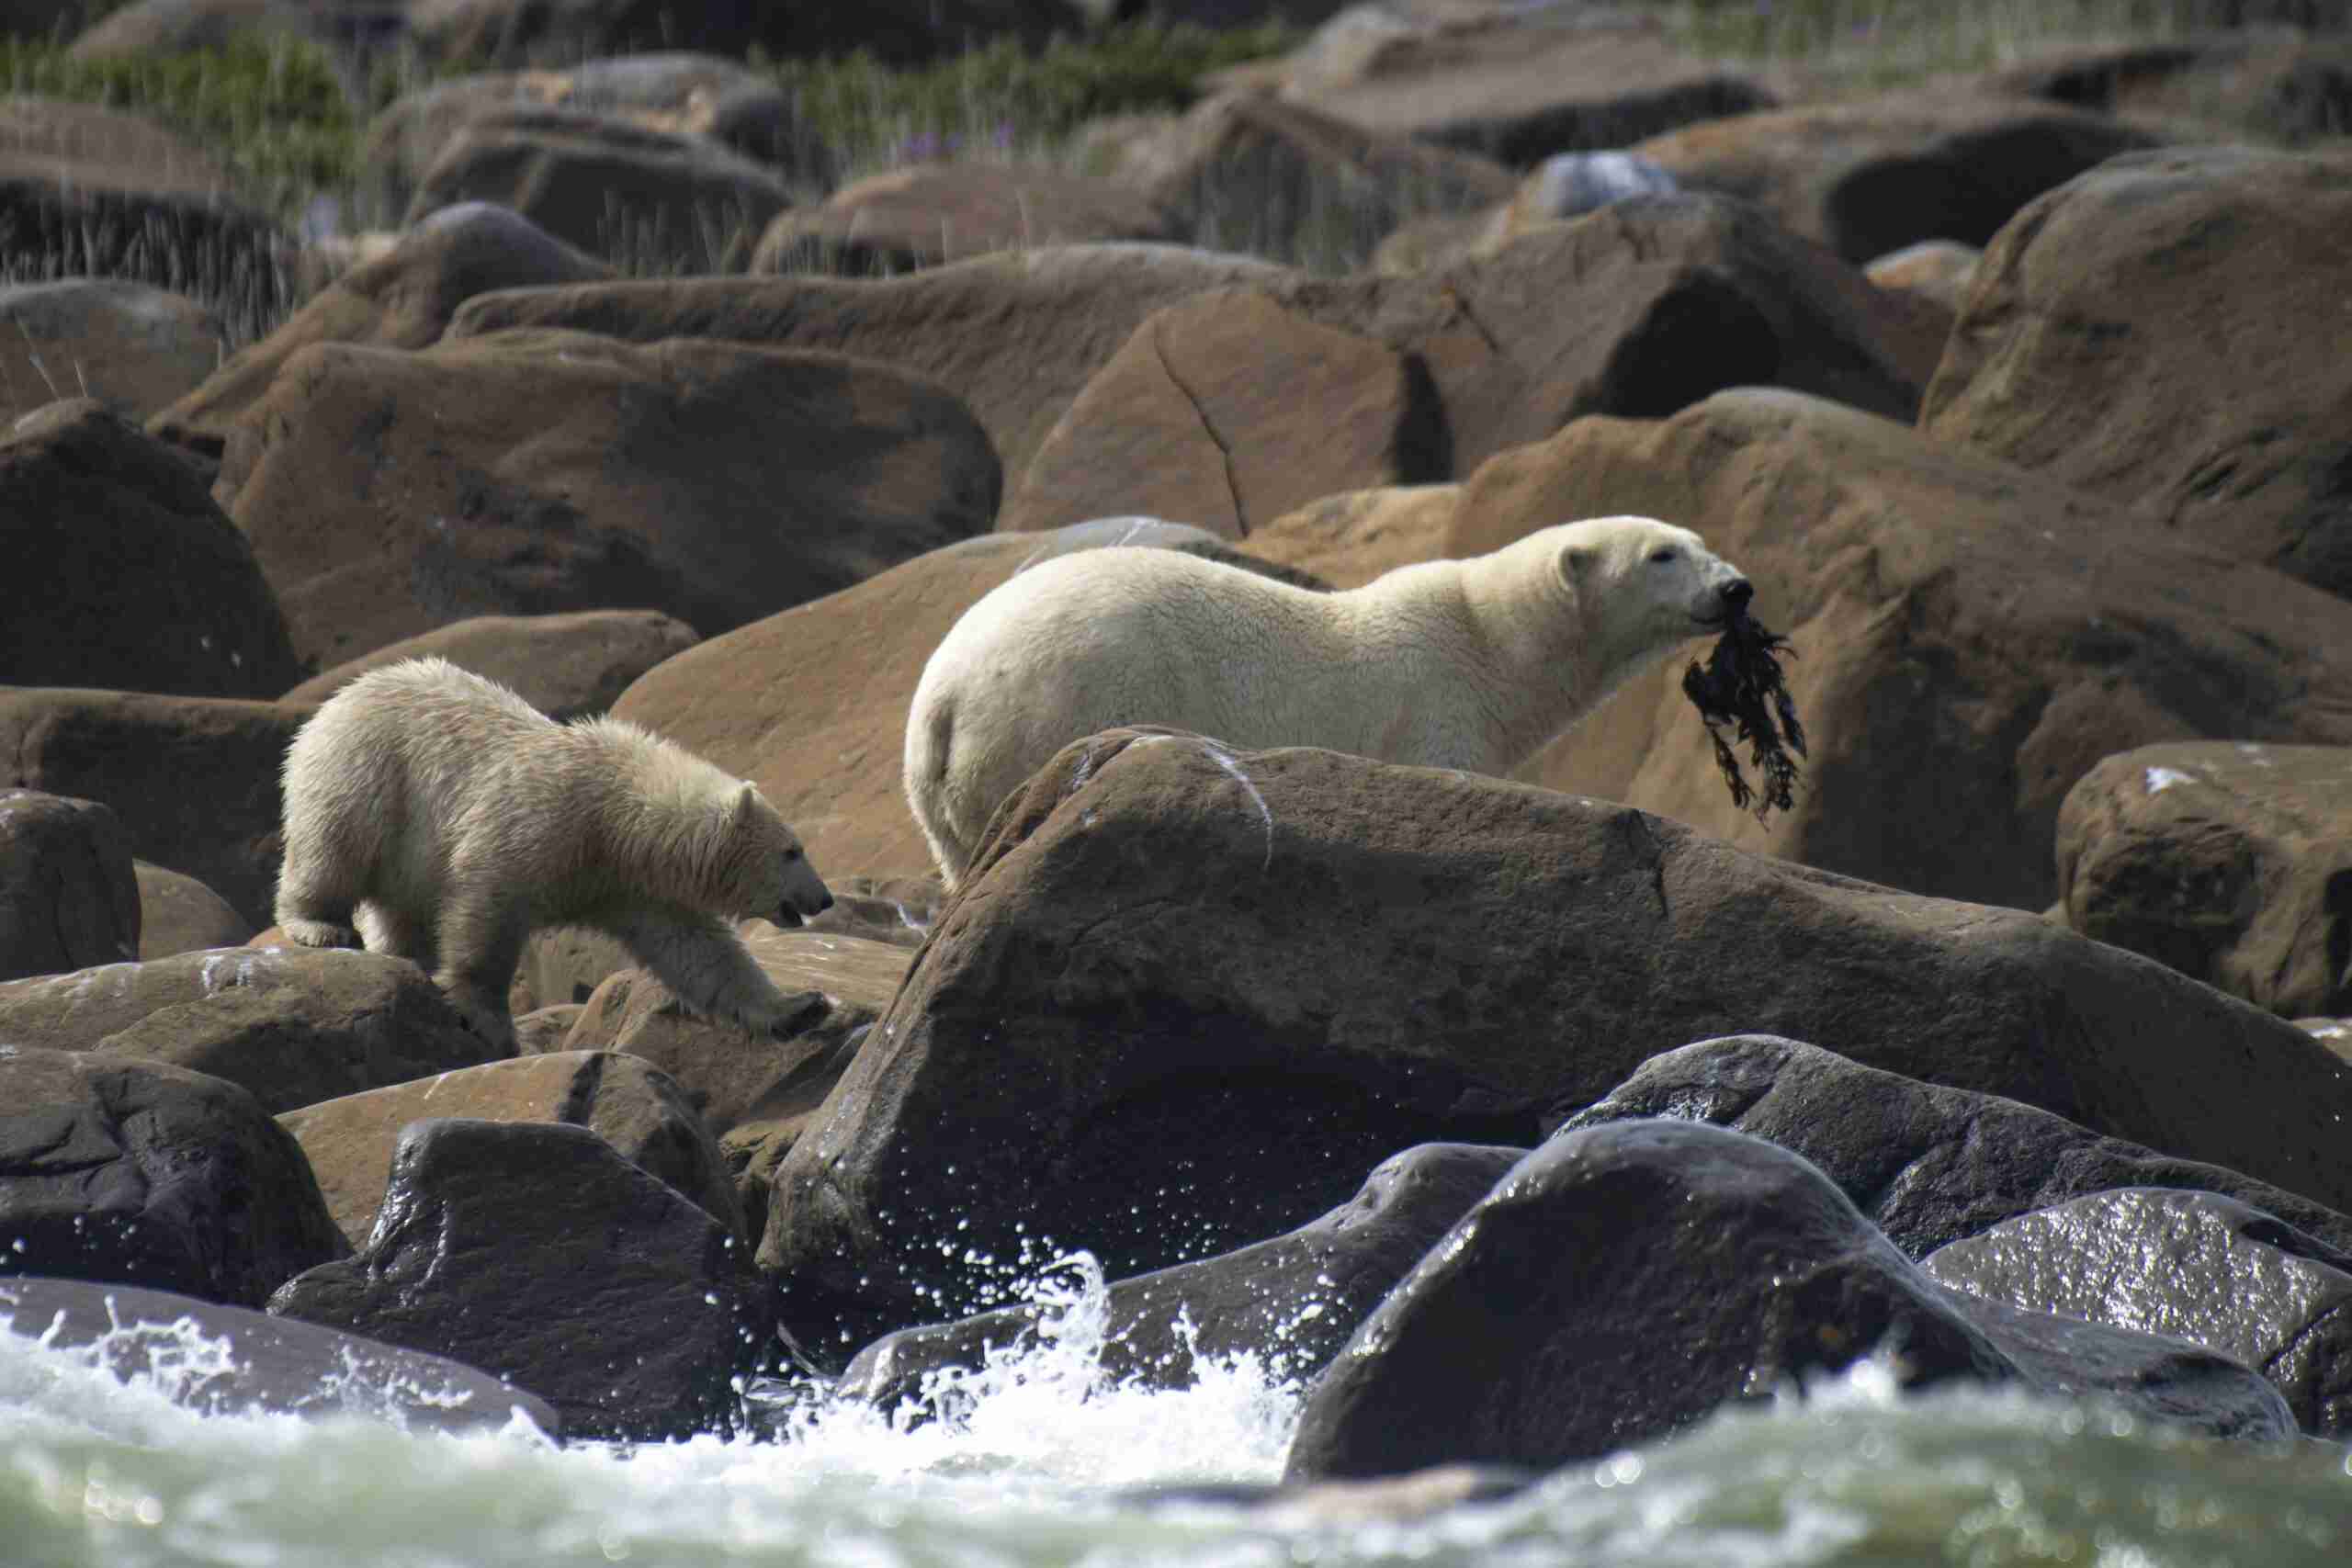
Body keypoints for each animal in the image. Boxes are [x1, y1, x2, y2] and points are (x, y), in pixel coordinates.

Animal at [275, 657, 833, 1046]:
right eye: (792, 851)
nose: (824, 898)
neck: (613, 815)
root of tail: (344, 694)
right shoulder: (535, 825)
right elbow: (485, 911)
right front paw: (487, 1018)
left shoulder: (632, 885)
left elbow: (699, 951)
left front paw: (799, 1006)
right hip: (367, 772)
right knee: (333, 848)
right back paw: (320, 925)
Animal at [904, 515, 1752, 886]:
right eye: (1662, 554)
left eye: (1699, 540)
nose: (1736, 588)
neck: (1487, 636)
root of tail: (943, 698)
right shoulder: (1433, 712)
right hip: (1069, 694)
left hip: (944, 803)